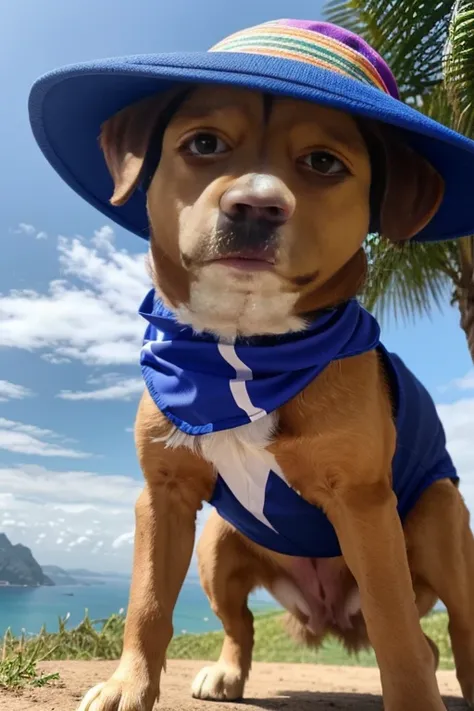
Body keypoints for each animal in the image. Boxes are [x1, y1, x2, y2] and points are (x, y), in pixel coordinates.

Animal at [27, 16, 474, 711]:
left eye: (323, 162)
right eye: (205, 144)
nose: (256, 206)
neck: (243, 350)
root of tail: (327, 611)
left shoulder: (366, 508)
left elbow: (397, 628)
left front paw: (414, 698)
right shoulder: (164, 496)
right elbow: (148, 604)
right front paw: (130, 685)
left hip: (438, 518)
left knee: (451, 627)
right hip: (217, 545)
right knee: (241, 626)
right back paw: (227, 673)